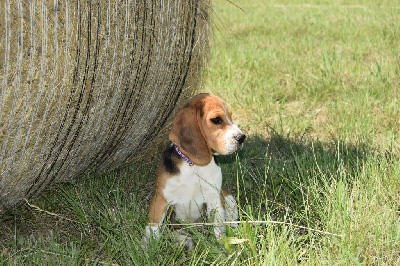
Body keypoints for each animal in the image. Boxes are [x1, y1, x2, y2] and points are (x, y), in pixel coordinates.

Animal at [144, 94, 244, 247]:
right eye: (216, 120)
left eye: (231, 117)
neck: (194, 166)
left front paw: (221, 245)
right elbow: (153, 226)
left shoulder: (213, 198)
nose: (242, 137)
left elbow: (217, 225)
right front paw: (148, 247)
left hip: (227, 195)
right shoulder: (161, 197)